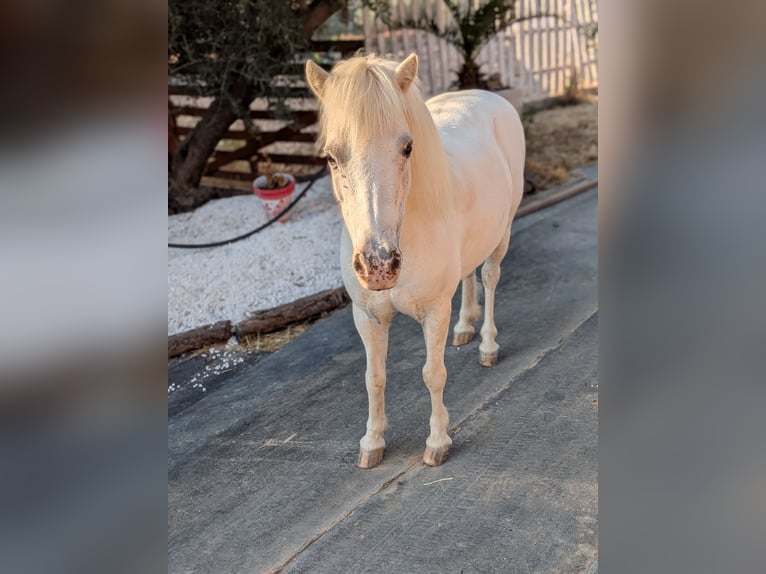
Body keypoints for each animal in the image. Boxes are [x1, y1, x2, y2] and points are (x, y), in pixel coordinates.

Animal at [305, 53, 525, 468]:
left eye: (408, 148)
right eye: (331, 156)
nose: (378, 265)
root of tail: (488, 96)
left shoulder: (435, 311)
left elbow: (433, 373)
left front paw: (437, 442)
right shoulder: (368, 316)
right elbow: (374, 377)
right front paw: (372, 442)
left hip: (501, 235)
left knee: (489, 277)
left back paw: (487, 345)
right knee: (468, 276)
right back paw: (464, 327)